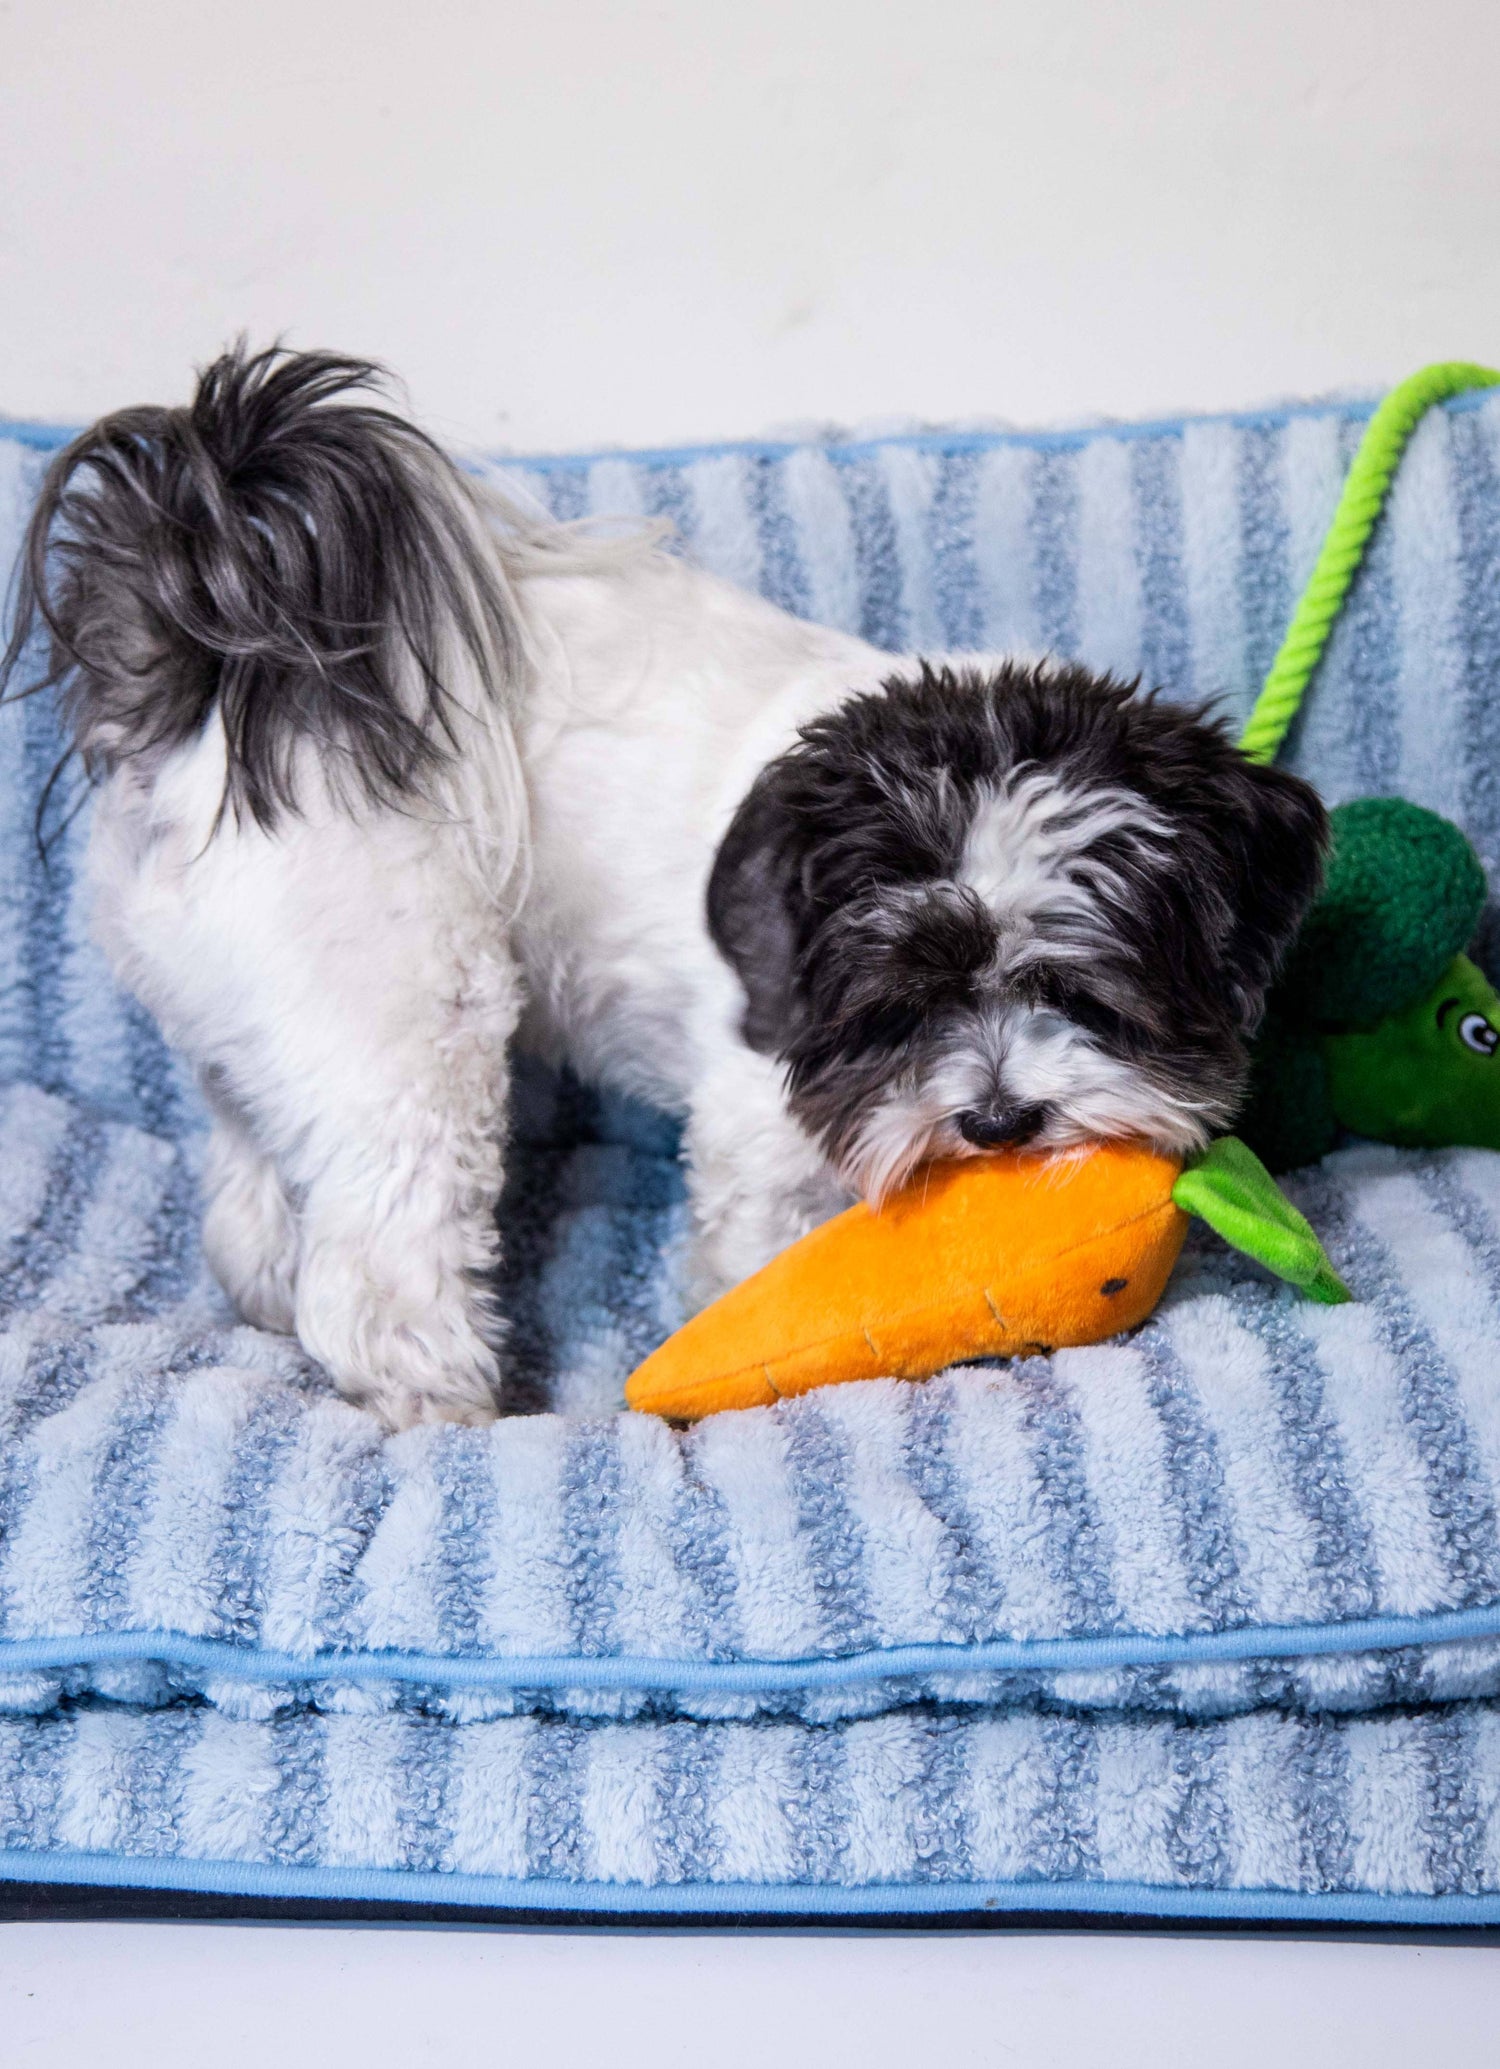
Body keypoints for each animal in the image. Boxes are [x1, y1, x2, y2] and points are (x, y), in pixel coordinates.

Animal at [2, 347, 1324, 1431]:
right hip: (407, 1020)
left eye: (1089, 996)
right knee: (380, 1260)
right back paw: (439, 1402)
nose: (1000, 1119)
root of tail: (225, 675)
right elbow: (771, 1275)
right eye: (897, 1003)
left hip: (258, 1025)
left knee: (254, 1176)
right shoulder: (762, 1127)